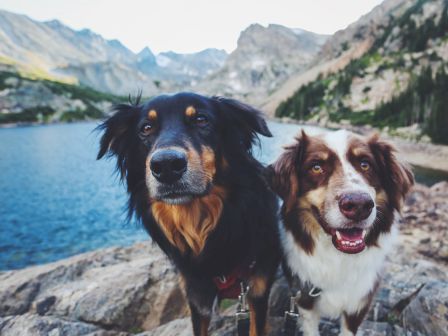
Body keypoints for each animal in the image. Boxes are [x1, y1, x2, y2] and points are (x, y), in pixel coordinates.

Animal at [270, 130, 412, 334]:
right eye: (316, 167)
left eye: (365, 164)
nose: (359, 205)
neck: (338, 257)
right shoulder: (304, 298)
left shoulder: (359, 302)